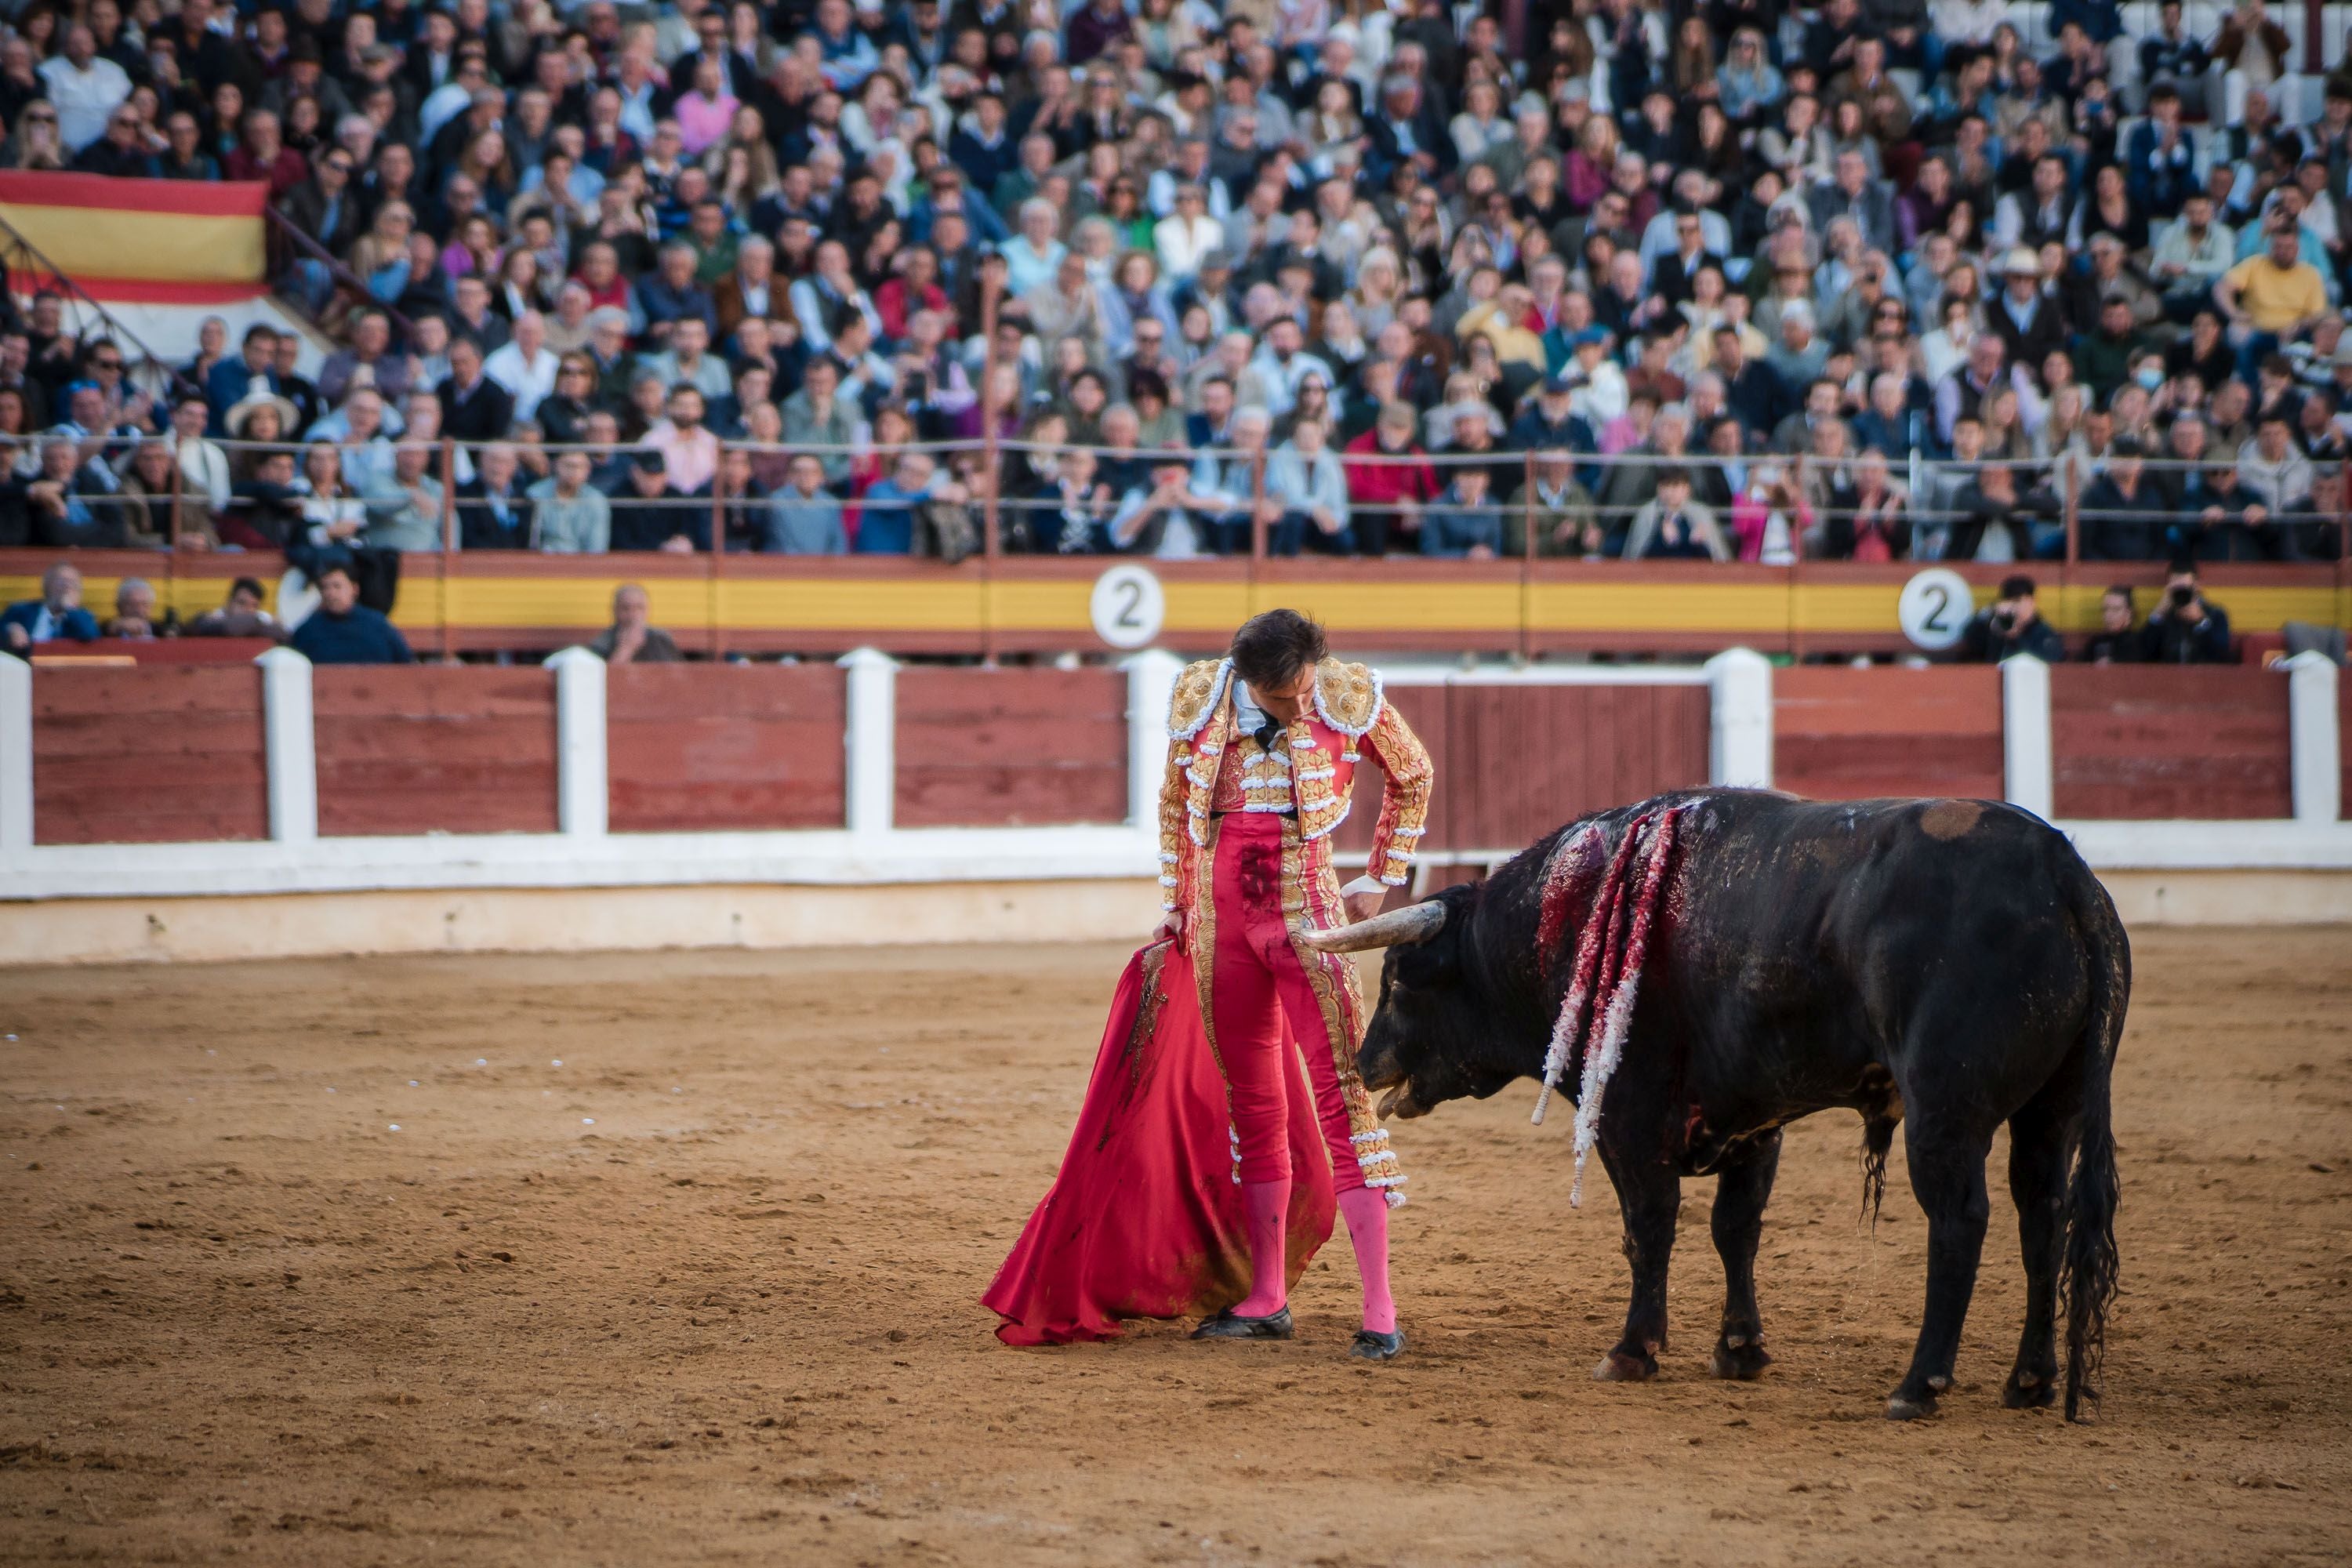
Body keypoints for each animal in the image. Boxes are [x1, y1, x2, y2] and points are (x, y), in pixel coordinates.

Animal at [1308, 789, 2136, 1420]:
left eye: (1400, 979)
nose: (1363, 1061)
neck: (1571, 915)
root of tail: (2065, 874)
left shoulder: (1627, 1116)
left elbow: (1649, 1227)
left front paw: (1632, 1350)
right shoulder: (1755, 1117)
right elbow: (1735, 1228)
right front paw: (1740, 1348)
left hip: (1944, 1115)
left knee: (1960, 1222)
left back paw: (1918, 1385)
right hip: (2051, 1109)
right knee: (2043, 1217)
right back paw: (2030, 1381)